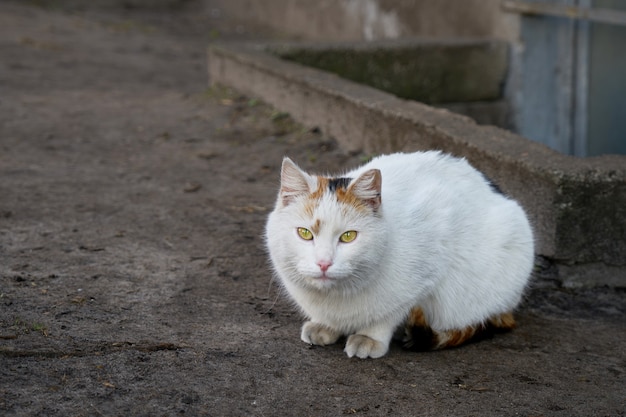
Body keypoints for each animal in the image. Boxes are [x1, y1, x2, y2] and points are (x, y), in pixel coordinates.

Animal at [264, 151, 532, 360]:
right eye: (304, 233)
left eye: (349, 236)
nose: (323, 263)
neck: (338, 295)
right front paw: (324, 325)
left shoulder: (430, 262)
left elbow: (388, 314)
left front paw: (368, 338)